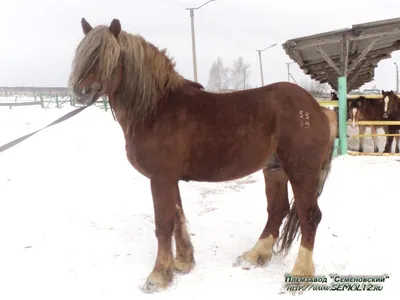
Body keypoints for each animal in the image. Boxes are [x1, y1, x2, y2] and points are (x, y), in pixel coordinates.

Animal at [69, 17, 338, 292]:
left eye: (107, 57)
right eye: (83, 54)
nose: (81, 92)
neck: (156, 109)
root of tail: (319, 110)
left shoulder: (160, 178)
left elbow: (163, 224)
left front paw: (157, 276)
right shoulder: (169, 179)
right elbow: (177, 218)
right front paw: (182, 263)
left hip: (301, 171)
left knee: (309, 215)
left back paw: (301, 272)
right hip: (274, 169)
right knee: (278, 210)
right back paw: (254, 255)